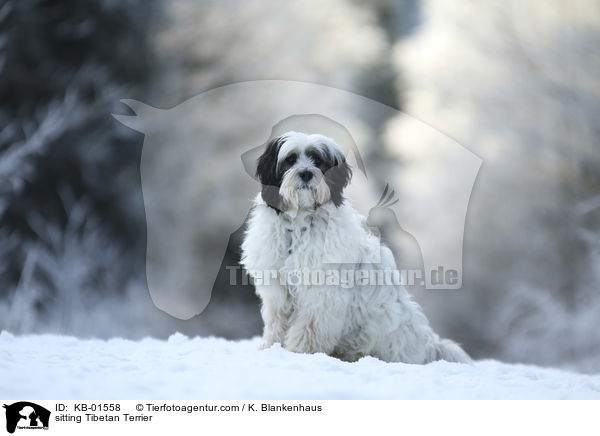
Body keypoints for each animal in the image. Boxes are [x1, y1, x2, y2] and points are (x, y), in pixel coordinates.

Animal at [241, 132, 472, 364]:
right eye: (290, 159)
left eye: (318, 160)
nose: (306, 174)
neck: (300, 224)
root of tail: (426, 346)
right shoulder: (277, 289)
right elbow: (277, 320)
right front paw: (273, 346)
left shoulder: (323, 292)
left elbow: (311, 325)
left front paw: (300, 351)